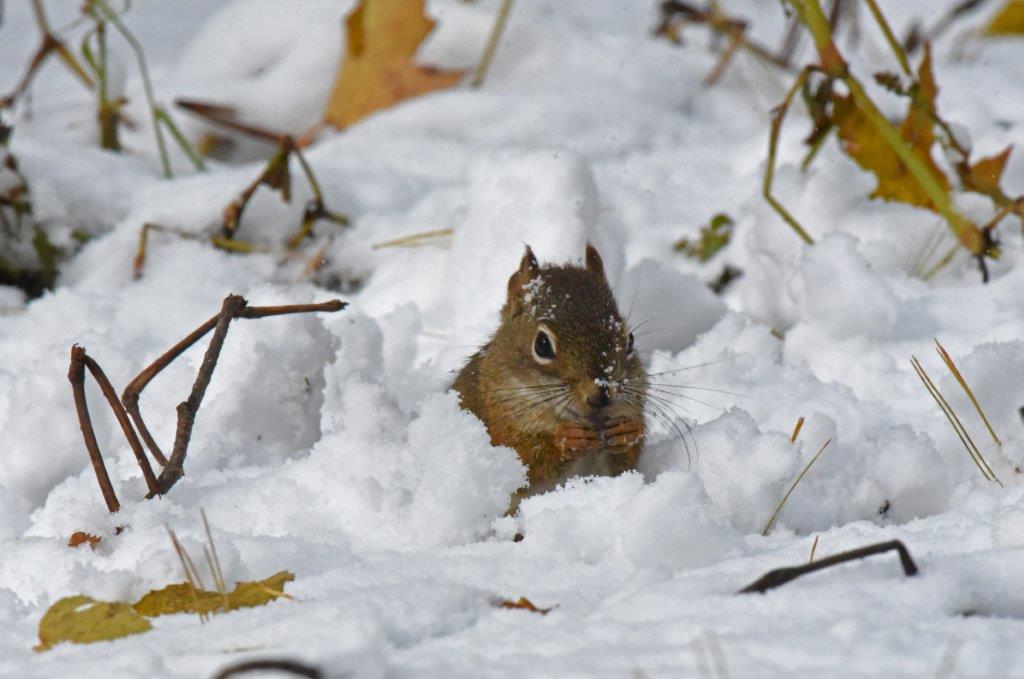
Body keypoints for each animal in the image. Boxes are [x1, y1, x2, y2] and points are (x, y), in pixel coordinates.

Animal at [453, 244, 646, 506]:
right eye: (542, 345)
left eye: (630, 340)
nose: (602, 396)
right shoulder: (495, 426)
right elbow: (524, 460)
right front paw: (566, 439)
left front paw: (627, 432)